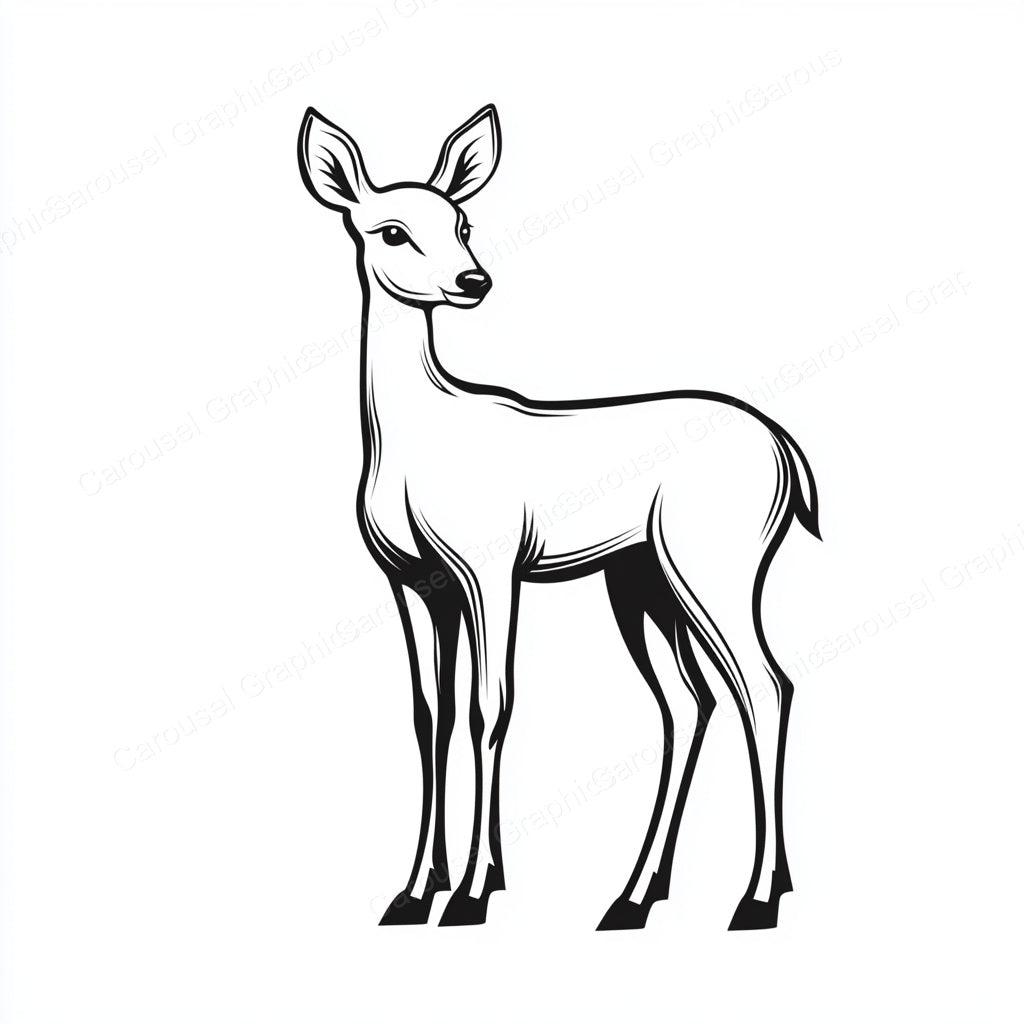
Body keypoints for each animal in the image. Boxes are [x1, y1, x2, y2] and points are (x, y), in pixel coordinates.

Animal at [297, 103, 820, 931]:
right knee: (690, 703)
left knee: (766, 688)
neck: (413, 439)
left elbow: (490, 707)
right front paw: (413, 893)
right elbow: (430, 716)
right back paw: (635, 897)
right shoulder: (413, 583)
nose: (472, 281)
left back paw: (757, 898)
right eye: (391, 230)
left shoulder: (489, 568)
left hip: (715, 567)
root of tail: (785, 451)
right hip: (643, 579)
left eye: (463, 222)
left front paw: (473, 892)